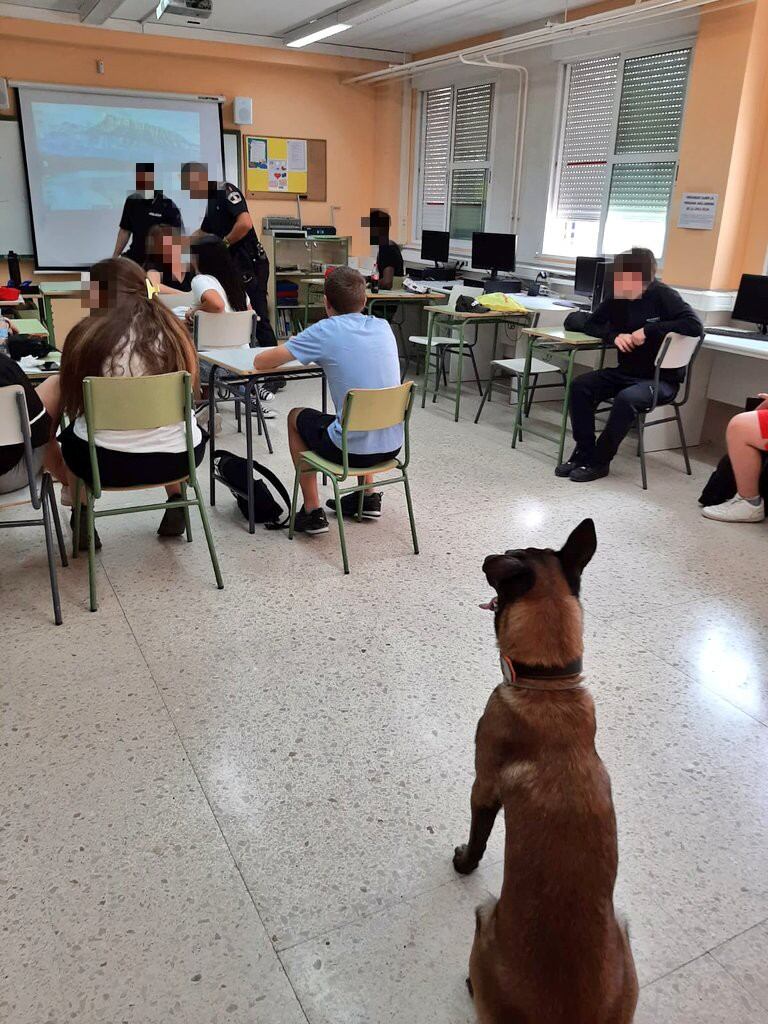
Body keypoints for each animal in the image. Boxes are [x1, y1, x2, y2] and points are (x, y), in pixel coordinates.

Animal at [454, 520, 638, 1024]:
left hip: (483, 918)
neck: (549, 680)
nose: (488, 554)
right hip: (624, 928)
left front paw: (462, 861)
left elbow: (478, 839)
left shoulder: (482, 787)